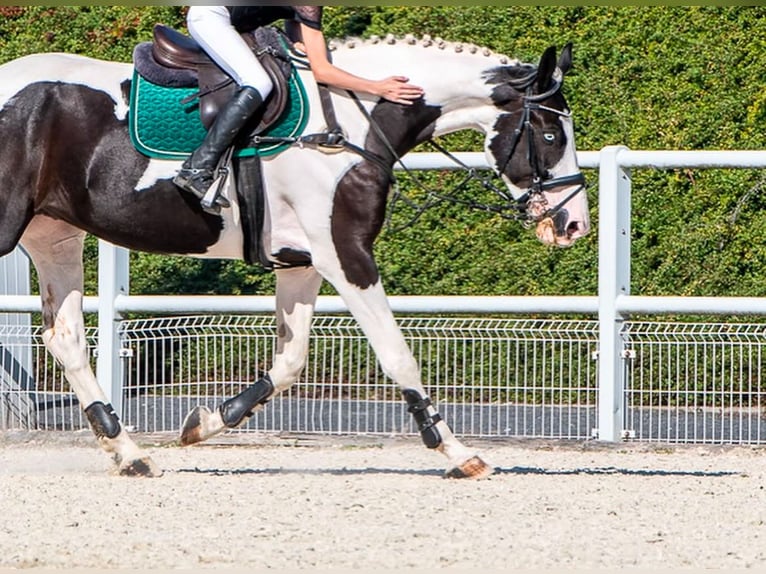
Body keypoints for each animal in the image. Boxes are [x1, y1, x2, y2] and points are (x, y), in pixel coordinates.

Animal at [0, 31, 592, 482]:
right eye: (549, 133)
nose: (573, 225)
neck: (348, 123)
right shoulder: (346, 256)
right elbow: (397, 353)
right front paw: (457, 452)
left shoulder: (302, 263)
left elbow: (289, 362)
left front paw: (206, 422)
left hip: (55, 238)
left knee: (65, 339)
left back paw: (129, 453)